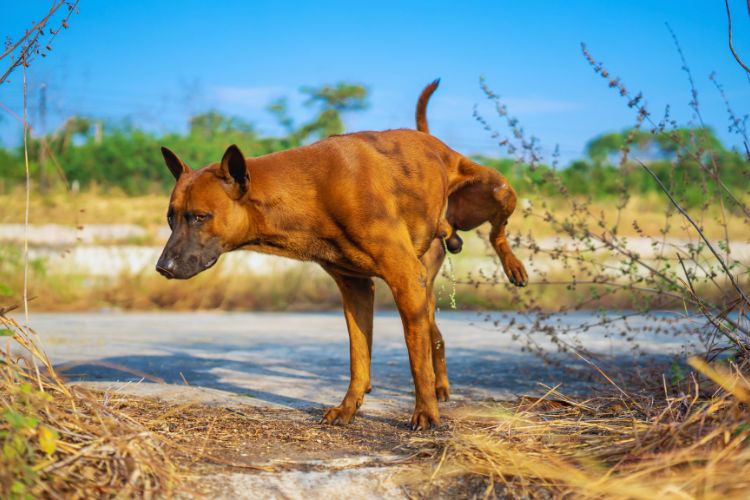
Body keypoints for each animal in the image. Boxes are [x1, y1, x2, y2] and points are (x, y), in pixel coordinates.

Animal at [154, 80, 528, 428]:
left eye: (200, 217)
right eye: (171, 217)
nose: (162, 267)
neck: (312, 190)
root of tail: (437, 145)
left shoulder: (405, 280)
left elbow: (415, 359)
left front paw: (425, 413)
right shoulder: (356, 288)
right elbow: (359, 355)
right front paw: (350, 406)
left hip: (498, 190)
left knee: (497, 232)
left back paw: (514, 267)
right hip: (427, 285)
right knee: (435, 333)